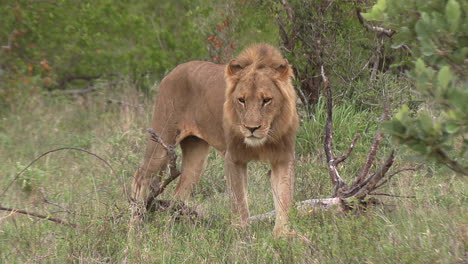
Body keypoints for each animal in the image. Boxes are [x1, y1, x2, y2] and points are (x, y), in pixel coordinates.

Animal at [132, 43, 300, 235]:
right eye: (241, 100)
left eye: (266, 100)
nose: (251, 128)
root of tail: (174, 70)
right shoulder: (234, 158)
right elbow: (239, 201)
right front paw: (243, 235)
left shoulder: (283, 158)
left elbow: (284, 198)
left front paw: (283, 236)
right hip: (163, 140)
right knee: (141, 176)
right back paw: (134, 226)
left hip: (196, 157)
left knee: (179, 193)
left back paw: (174, 228)